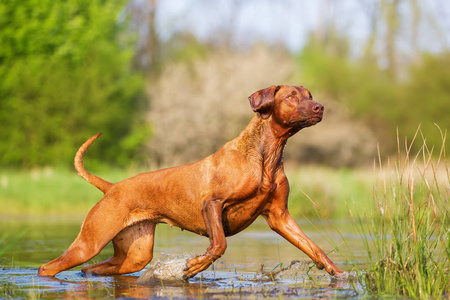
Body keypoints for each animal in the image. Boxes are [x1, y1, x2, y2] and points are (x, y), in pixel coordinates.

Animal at [37, 85, 344, 278]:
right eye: (291, 96)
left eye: (310, 95)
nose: (320, 107)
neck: (266, 155)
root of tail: (112, 187)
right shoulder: (213, 204)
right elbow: (219, 245)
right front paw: (195, 266)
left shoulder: (280, 216)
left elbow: (315, 248)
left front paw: (340, 274)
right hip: (89, 243)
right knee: (47, 268)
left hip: (135, 255)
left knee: (92, 269)